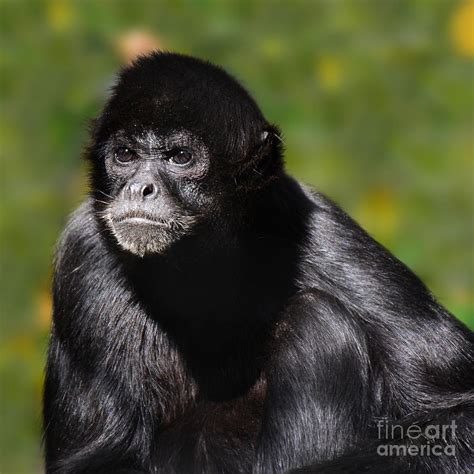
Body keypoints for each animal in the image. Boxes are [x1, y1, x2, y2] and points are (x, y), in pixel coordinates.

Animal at [43, 52, 474, 474]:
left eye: (179, 157)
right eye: (125, 156)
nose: (139, 187)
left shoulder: (315, 226)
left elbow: (458, 413)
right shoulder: (86, 248)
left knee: (317, 321)